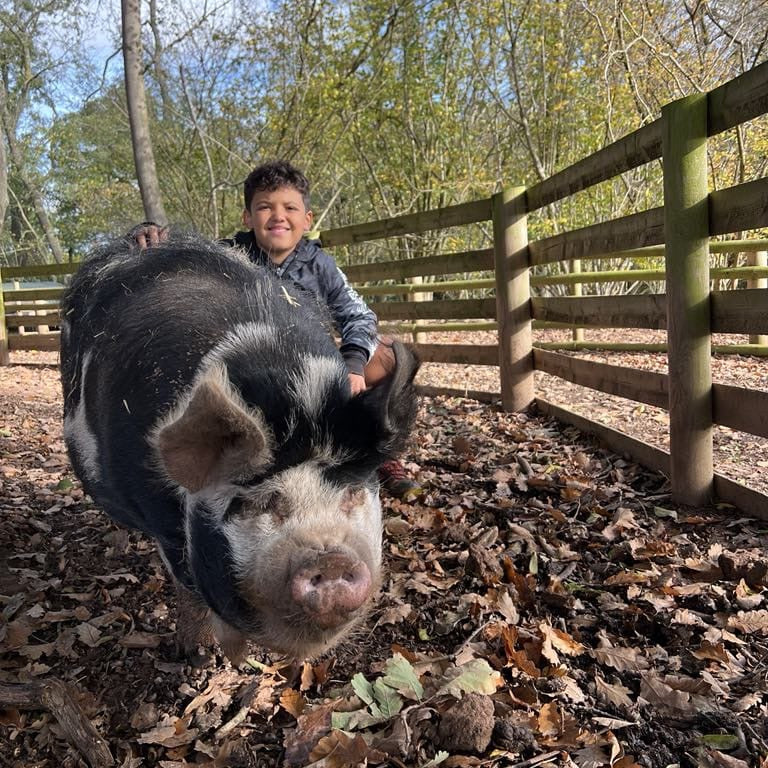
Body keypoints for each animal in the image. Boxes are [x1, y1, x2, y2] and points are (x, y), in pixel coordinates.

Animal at [59, 233, 419, 662]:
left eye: (351, 494)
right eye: (259, 502)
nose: (330, 559)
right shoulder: (163, 519)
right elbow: (189, 586)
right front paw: (200, 656)